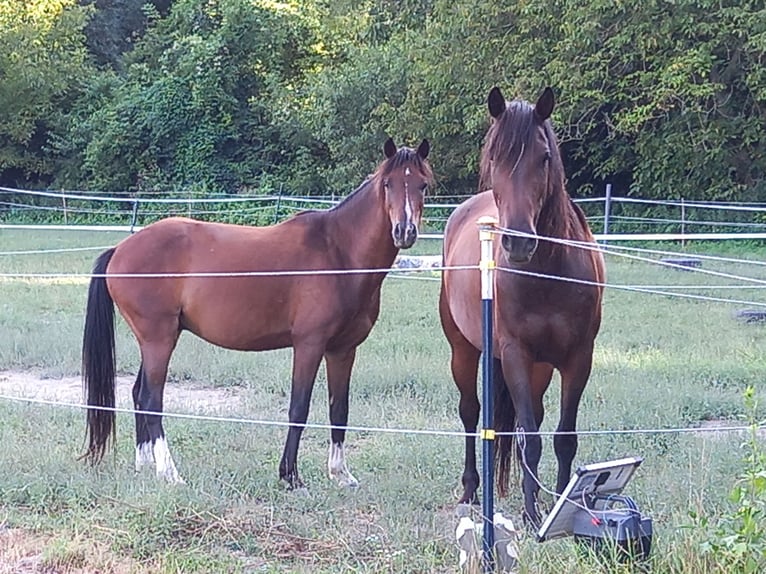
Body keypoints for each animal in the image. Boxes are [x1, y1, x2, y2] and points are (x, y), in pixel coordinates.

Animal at [82, 137, 433, 488]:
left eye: (422, 185)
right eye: (387, 184)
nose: (405, 231)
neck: (338, 253)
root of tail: (120, 250)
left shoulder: (343, 350)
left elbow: (339, 410)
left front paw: (340, 474)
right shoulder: (309, 345)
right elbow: (299, 408)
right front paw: (290, 475)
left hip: (158, 339)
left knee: (138, 395)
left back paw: (146, 464)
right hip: (159, 340)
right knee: (152, 400)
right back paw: (170, 473)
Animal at [439, 86, 605, 526]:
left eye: (544, 157)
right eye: (494, 156)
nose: (518, 242)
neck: (548, 274)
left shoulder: (578, 357)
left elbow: (564, 437)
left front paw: (564, 504)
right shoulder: (515, 354)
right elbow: (530, 438)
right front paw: (532, 514)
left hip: (540, 367)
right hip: (465, 350)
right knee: (470, 412)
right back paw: (470, 489)